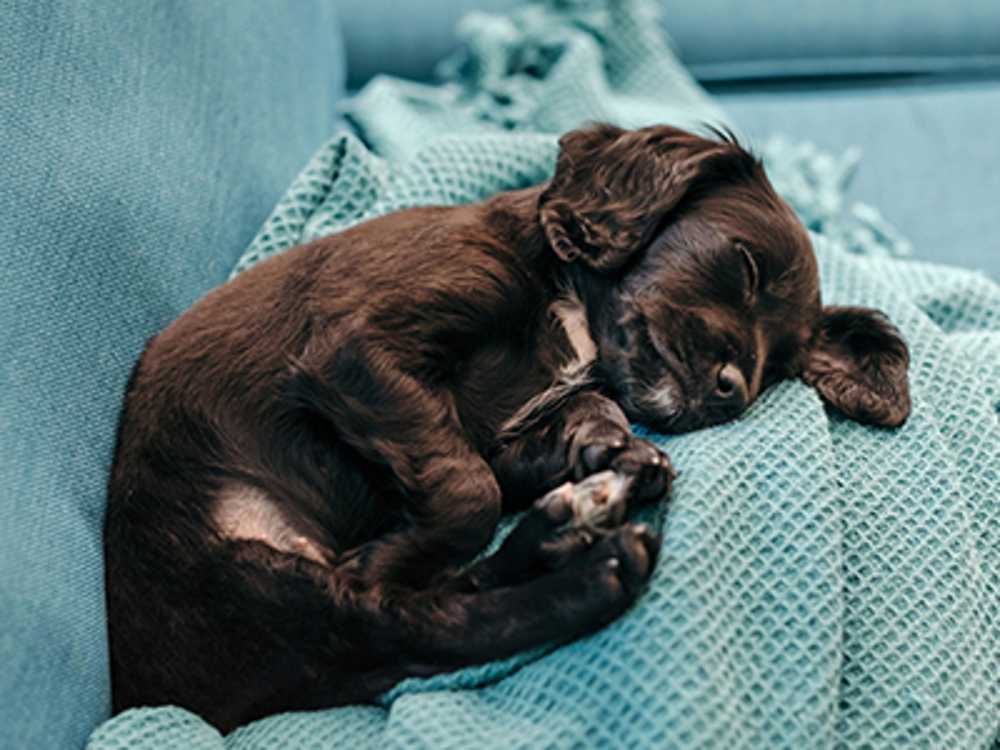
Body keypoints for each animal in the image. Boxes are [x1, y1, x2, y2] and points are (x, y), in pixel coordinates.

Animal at [105, 125, 912, 736]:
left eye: (780, 365)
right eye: (744, 266)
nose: (733, 391)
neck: (569, 306)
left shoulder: (500, 430)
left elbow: (543, 443)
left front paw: (617, 452)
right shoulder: (356, 347)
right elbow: (470, 493)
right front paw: (388, 553)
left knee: (432, 608)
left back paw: (564, 530)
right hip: (246, 578)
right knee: (402, 621)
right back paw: (589, 572)